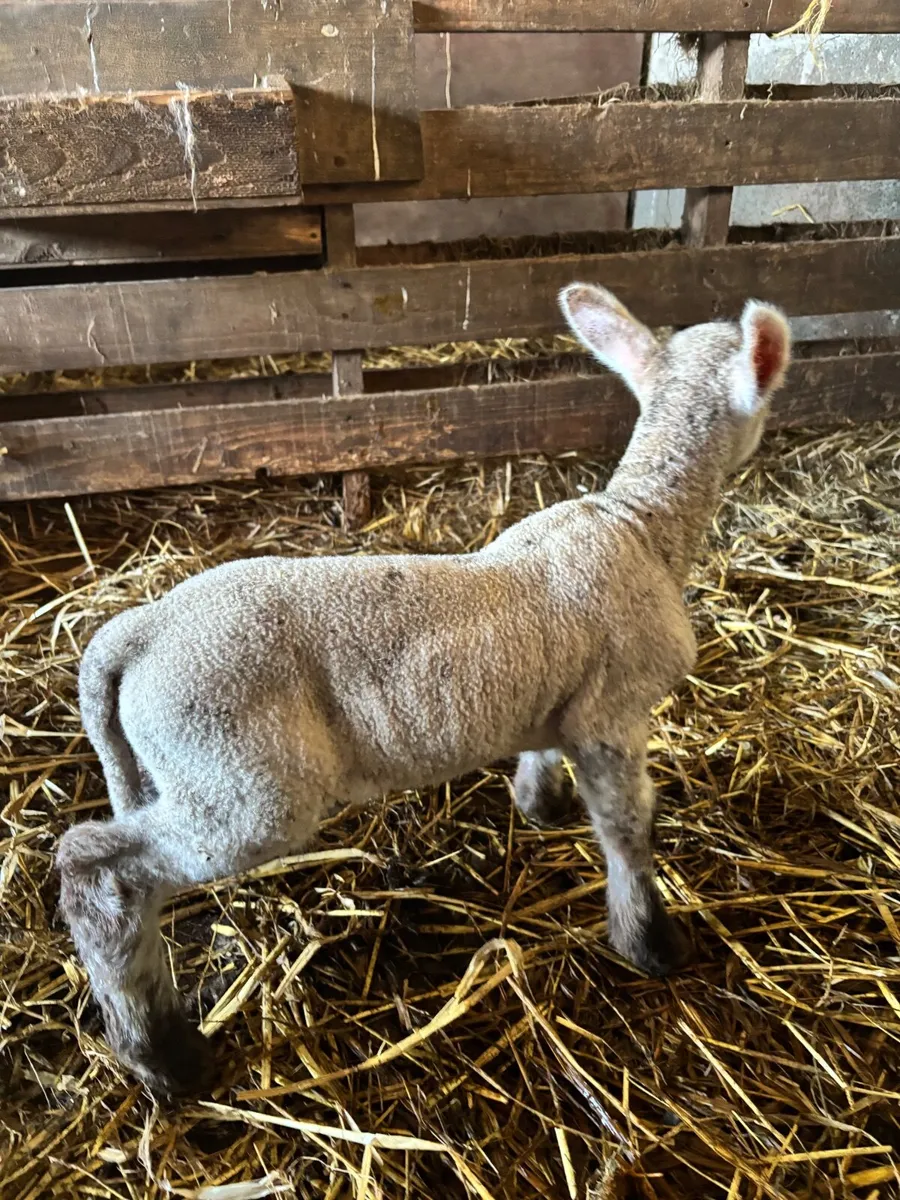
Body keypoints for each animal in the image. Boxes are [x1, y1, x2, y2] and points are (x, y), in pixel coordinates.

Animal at [57, 283, 791, 1096]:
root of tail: (137, 633)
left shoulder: (563, 704)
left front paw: (540, 805)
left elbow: (544, 755)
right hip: (241, 780)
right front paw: (650, 941)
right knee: (95, 870)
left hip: (186, 772)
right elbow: (628, 831)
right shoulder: (614, 717)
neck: (642, 525)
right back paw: (161, 1053)